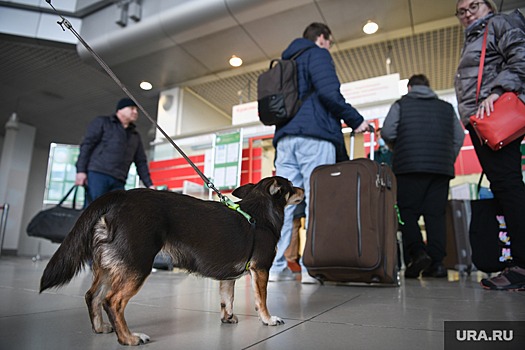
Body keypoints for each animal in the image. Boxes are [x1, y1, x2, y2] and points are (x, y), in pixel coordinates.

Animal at [40, 176, 302, 346]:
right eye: (291, 186)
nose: (302, 189)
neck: (259, 213)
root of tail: (122, 196)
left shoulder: (228, 277)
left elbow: (227, 299)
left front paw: (227, 318)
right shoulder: (261, 269)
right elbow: (261, 300)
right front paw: (268, 319)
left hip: (110, 266)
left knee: (92, 296)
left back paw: (100, 328)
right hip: (137, 265)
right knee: (112, 301)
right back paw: (128, 338)